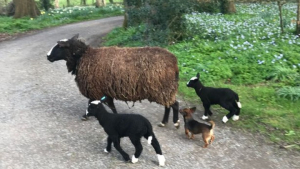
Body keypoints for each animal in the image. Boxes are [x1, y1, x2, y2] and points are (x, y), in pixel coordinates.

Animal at [45, 33, 179, 127]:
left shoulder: (94, 88)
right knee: (169, 105)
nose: (47, 56)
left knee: (174, 104)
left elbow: (91, 102)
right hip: (165, 89)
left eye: (59, 46)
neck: (83, 56)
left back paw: (174, 122)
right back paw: (165, 122)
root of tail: (174, 61)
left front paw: (85, 115)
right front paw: (116, 115)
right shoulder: (102, 89)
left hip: (162, 88)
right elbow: (110, 105)